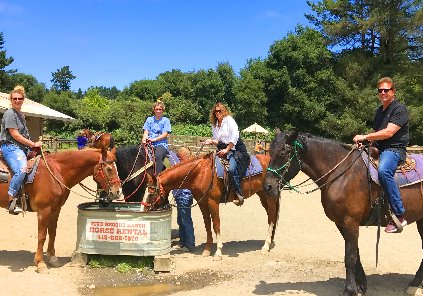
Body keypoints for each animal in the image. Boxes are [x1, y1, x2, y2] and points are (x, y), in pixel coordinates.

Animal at [147, 151, 280, 258]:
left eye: (152, 192)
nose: (146, 207)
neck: (200, 173)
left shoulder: (213, 203)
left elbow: (216, 224)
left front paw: (218, 252)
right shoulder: (203, 203)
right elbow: (207, 225)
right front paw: (207, 250)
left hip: (270, 197)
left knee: (272, 217)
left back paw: (266, 246)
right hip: (262, 195)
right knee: (271, 217)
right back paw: (270, 241)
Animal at [264, 131, 423, 296]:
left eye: (283, 153)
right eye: (269, 152)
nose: (268, 187)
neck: (342, 173)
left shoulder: (350, 221)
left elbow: (350, 257)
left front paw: (349, 290)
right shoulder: (341, 223)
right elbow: (355, 253)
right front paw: (361, 285)